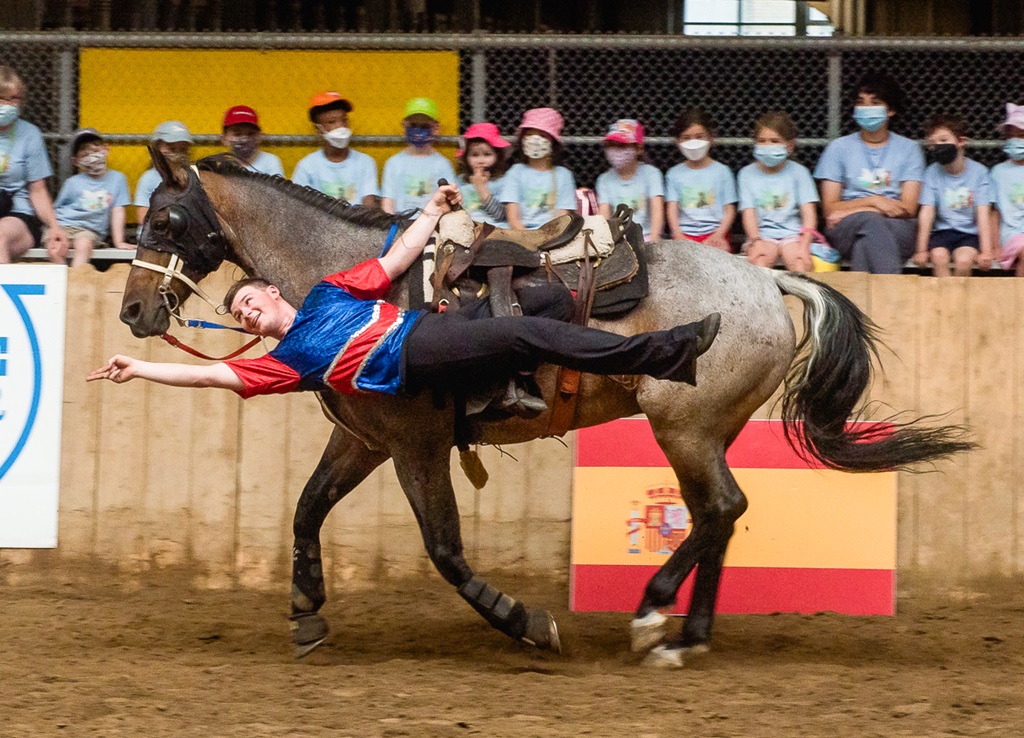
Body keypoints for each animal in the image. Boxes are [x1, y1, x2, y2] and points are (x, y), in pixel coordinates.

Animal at [119, 150, 970, 666]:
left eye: (164, 219)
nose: (131, 311)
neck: (356, 283)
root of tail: (769, 280)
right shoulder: (366, 441)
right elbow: (306, 510)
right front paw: (306, 611)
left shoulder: (416, 445)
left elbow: (445, 549)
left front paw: (525, 621)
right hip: (706, 432)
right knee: (717, 515)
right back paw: (685, 634)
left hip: (684, 428)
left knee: (722, 508)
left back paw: (653, 615)